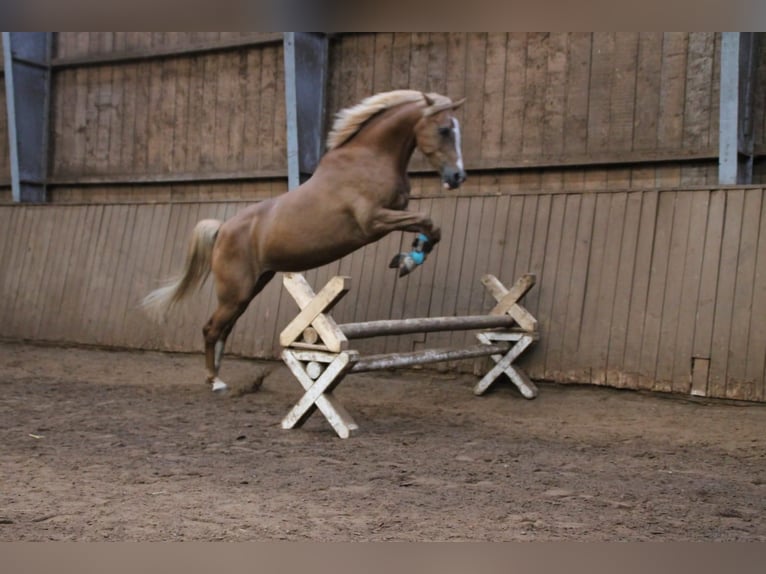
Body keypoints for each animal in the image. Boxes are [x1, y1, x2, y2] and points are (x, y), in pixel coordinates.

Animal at [143, 90, 468, 394]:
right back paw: (215, 382)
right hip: (235, 291)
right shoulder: (374, 222)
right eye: (443, 130)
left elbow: (431, 228)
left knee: (224, 328)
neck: (370, 157)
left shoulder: (395, 214)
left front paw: (408, 259)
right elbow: (427, 221)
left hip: (250, 288)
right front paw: (407, 262)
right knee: (211, 328)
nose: (457, 176)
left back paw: (221, 376)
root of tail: (223, 229)